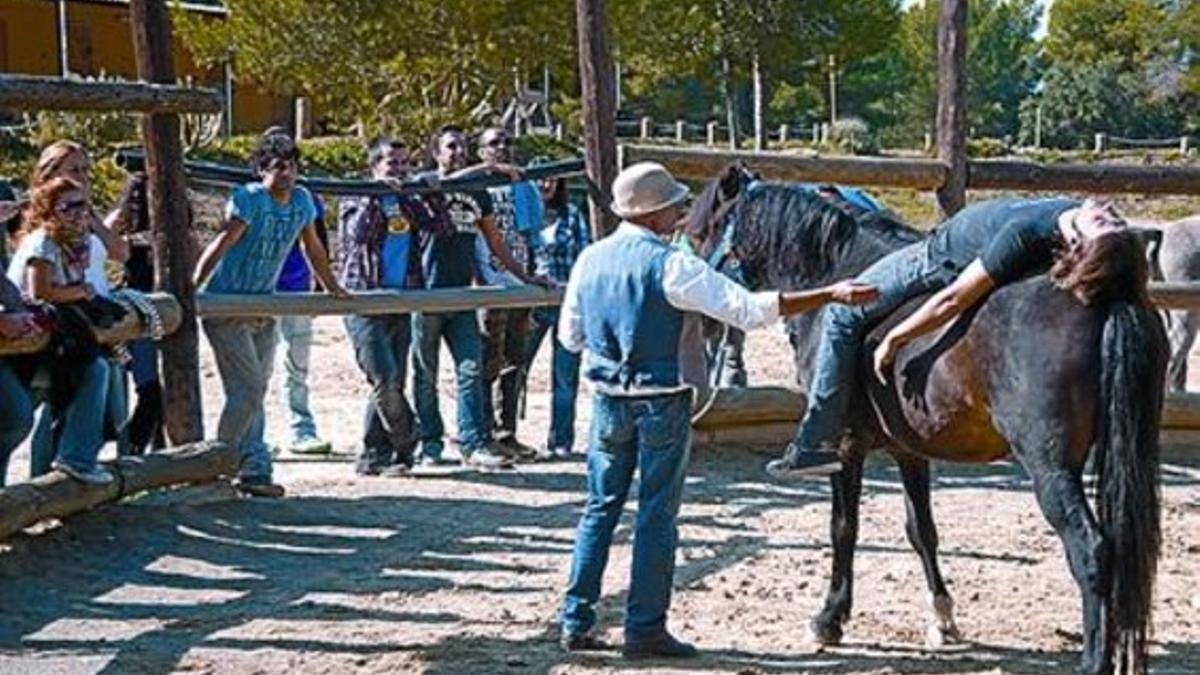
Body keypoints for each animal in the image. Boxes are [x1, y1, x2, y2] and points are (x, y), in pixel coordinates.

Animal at [691, 164, 1166, 672]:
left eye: (701, 232)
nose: (702, 319)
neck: (840, 268)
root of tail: (1108, 298)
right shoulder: (909, 448)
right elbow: (921, 530)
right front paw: (943, 617)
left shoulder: (845, 447)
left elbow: (844, 528)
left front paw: (829, 619)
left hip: (1050, 467)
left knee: (1091, 550)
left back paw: (1094, 659)